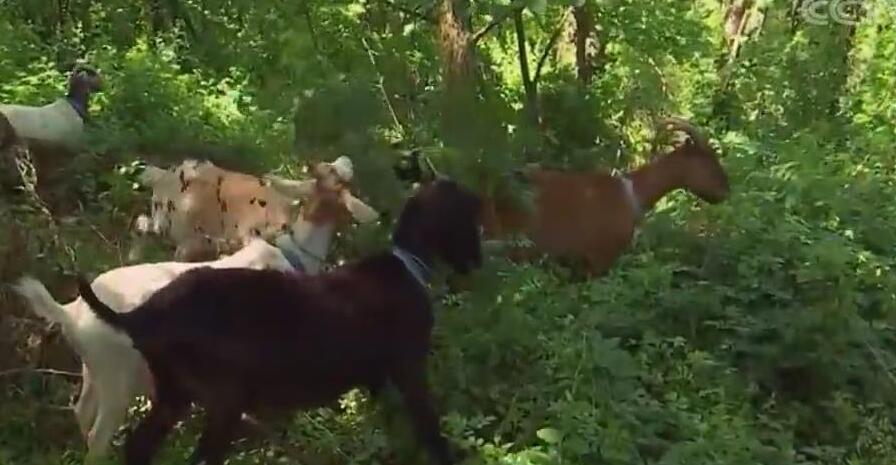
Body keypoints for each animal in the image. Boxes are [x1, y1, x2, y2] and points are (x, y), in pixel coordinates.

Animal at [76, 177, 483, 465]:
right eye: (471, 219)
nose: (477, 265)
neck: (406, 266)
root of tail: (143, 314)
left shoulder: (378, 376)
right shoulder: (409, 368)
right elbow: (430, 429)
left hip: (175, 393)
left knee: (139, 447)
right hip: (222, 399)